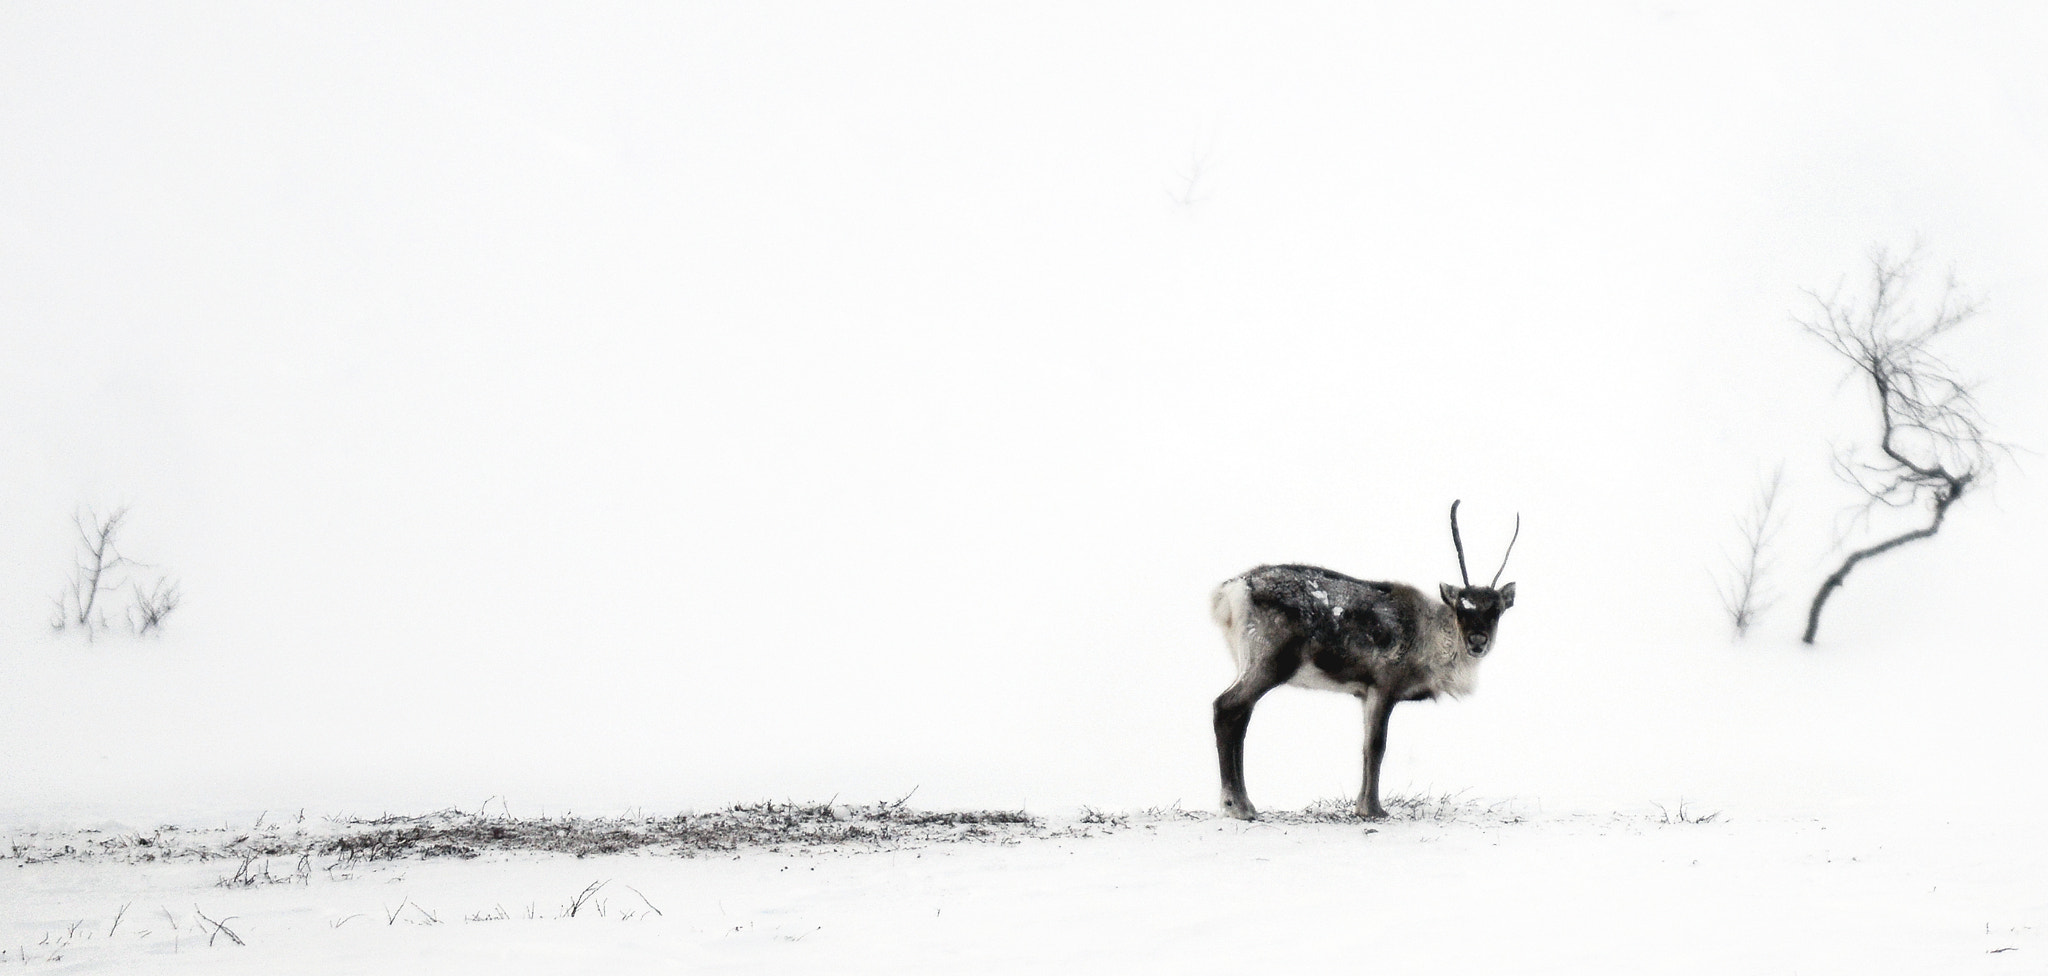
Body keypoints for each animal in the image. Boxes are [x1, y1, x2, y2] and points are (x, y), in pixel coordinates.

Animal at [1210, 500, 1518, 820]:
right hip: (1269, 659)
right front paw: (1372, 809)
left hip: (1248, 662)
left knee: (1240, 715)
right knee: (1226, 706)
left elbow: (1366, 746)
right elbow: (1376, 746)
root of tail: (1230, 591)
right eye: (1461, 608)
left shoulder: (1364, 692)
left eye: (1496, 610)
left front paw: (1363, 805)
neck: (1430, 638)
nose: (1477, 641)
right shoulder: (1383, 684)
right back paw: (1237, 805)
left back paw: (1243, 802)